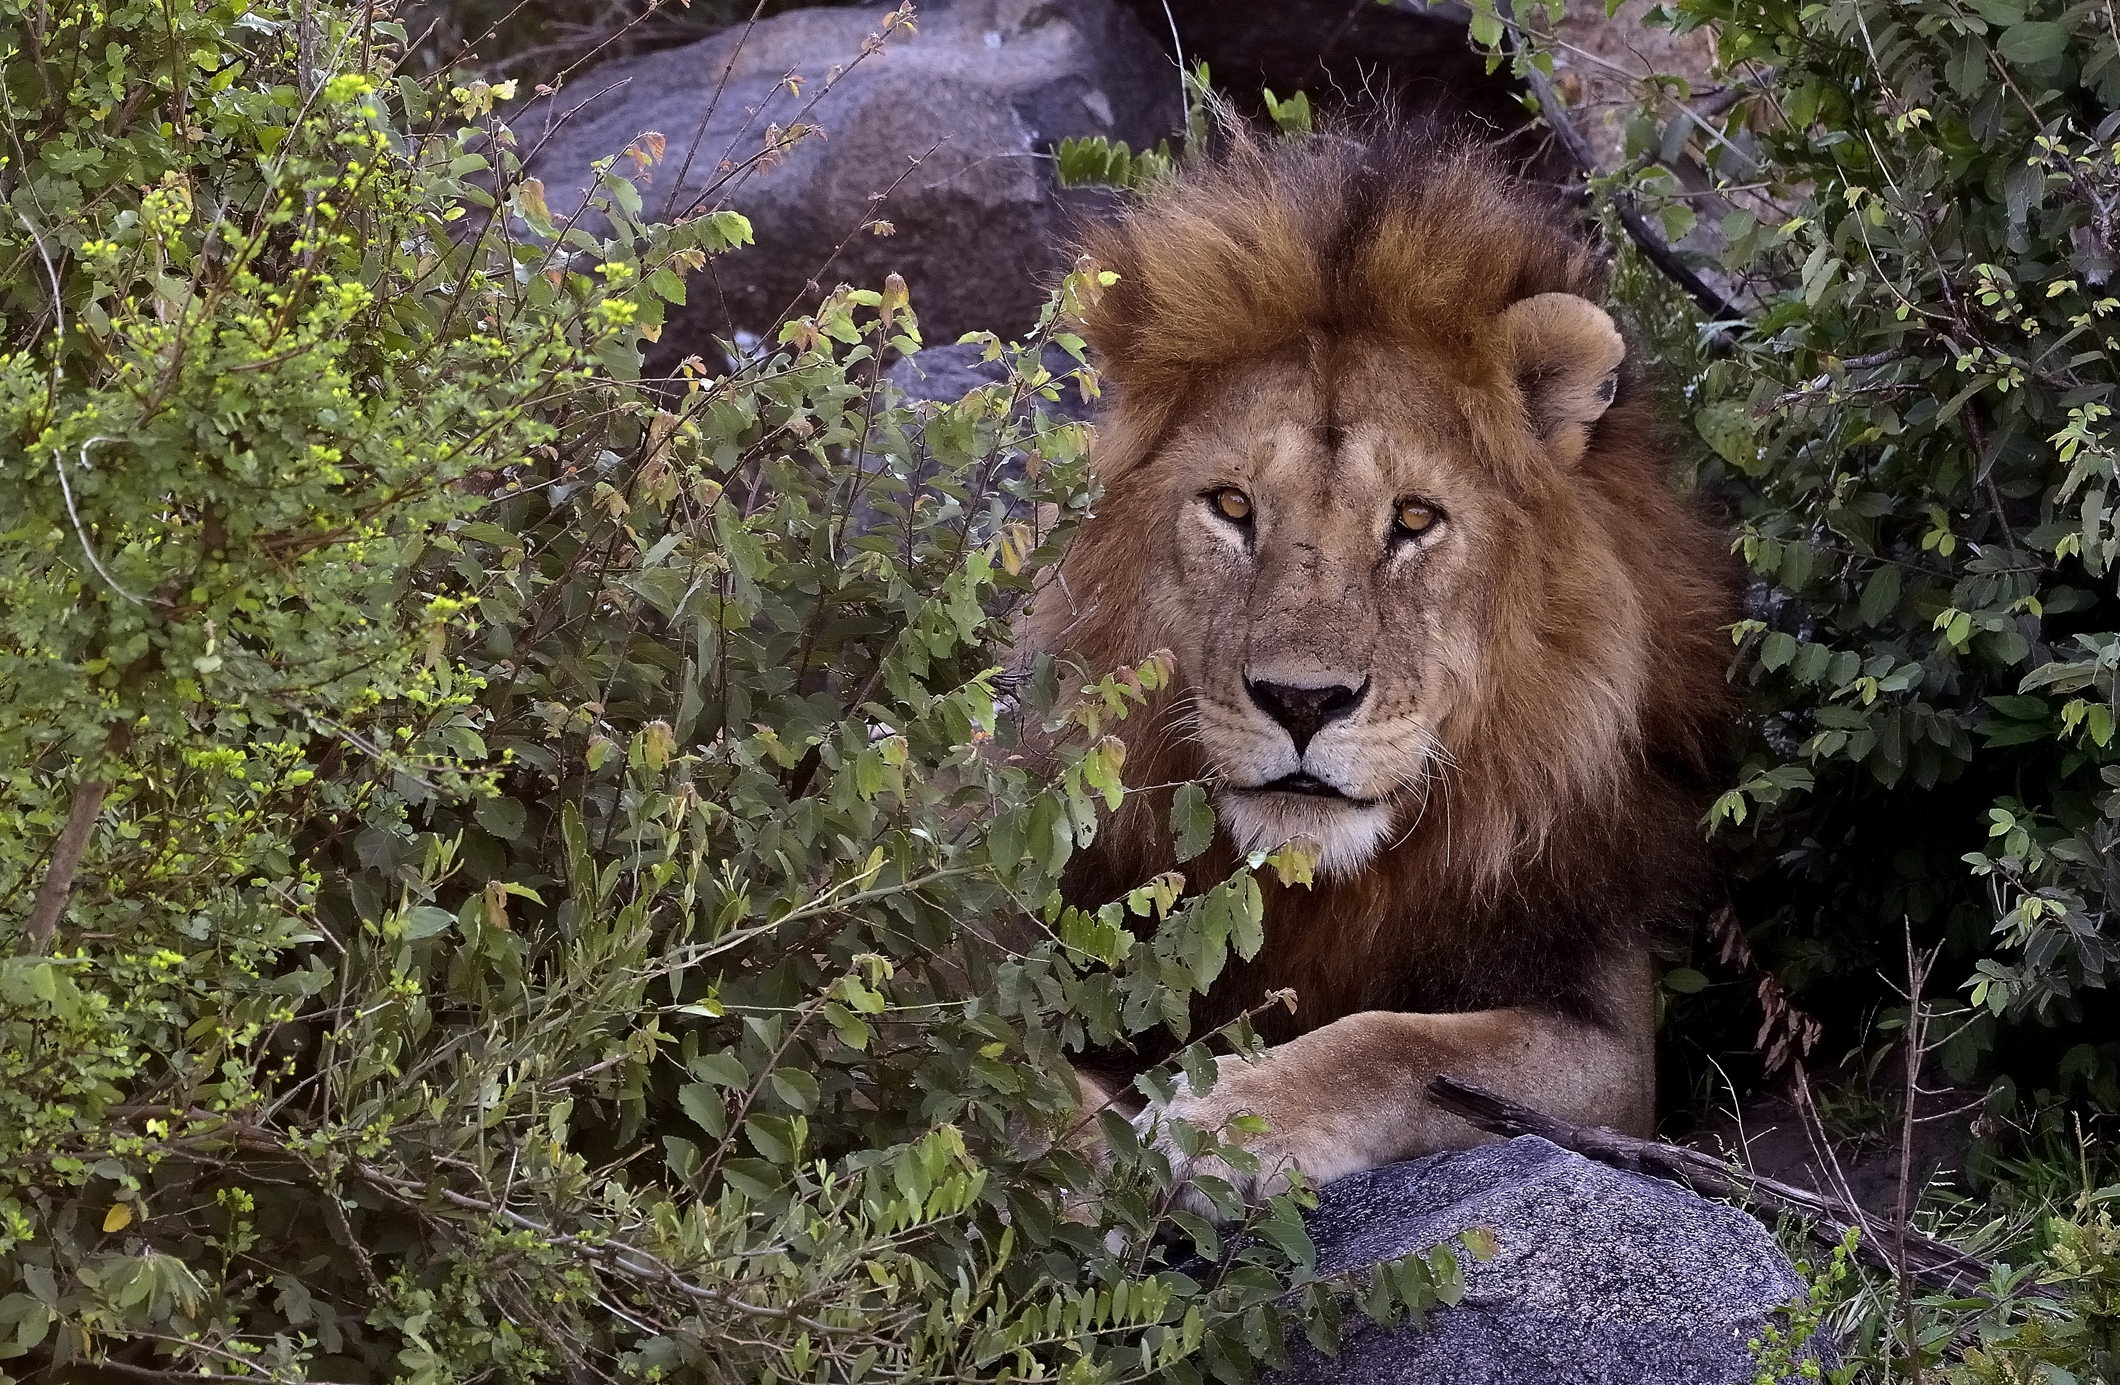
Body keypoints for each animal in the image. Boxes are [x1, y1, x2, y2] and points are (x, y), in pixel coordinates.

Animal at [1022, 124, 1738, 1206]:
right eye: (1231, 506)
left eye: (1412, 519)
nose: (1300, 701)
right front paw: (1076, 1157)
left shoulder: (1607, 1036)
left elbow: (1394, 1042)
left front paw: (1216, 1118)